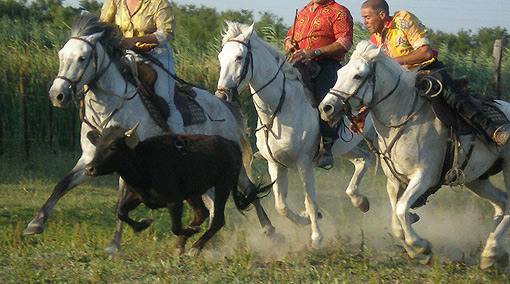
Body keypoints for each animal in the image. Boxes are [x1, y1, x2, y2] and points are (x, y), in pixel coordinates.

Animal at [23, 13, 274, 253]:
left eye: (82, 58)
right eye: (61, 55)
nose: (57, 95)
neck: (113, 105)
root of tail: (223, 104)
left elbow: (120, 202)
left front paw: (114, 243)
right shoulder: (91, 159)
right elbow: (62, 185)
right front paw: (35, 223)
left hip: (232, 166)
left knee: (248, 189)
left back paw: (269, 231)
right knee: (212, 203)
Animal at [215, 21, 374, 248]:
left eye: (239, 57)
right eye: (220, 57)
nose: (222, 95)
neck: (280, 108)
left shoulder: (303, 162)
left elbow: (310, 199)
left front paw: (316, 238)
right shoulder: (275, 164)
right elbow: (281, 204)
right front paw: (305, 219)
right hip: (346, 147)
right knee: (363, 159)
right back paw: (359, 201)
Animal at [320, 40, 510, 268]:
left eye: (358, 76)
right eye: (339, 73)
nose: (326, 107)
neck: (404, 118)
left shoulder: (424, 177)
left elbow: (402, 209)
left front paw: (422, 247)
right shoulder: (394, 180)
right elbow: (396, 220)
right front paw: (416, 251)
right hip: (476, 179)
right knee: (502, 202)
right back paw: (492, 251)